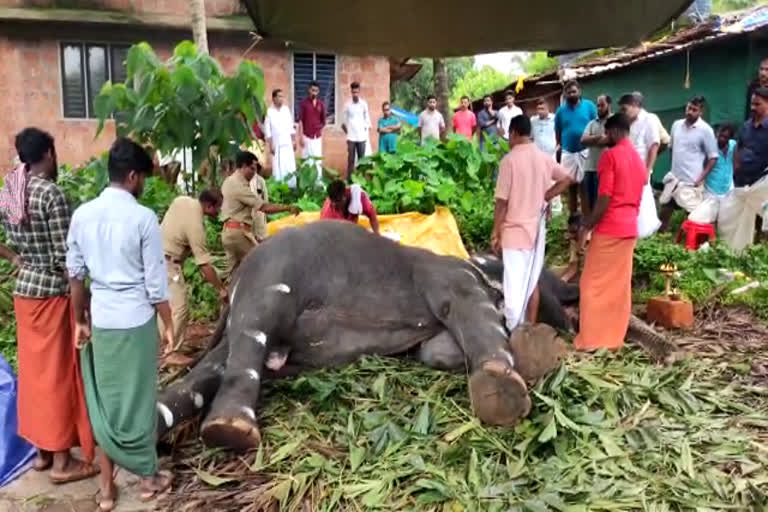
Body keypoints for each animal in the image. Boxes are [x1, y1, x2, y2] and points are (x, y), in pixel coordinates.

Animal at [158, 220, 672, 452]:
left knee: (213, 368)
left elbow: (435, 351)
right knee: (249, 342)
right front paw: (505, 391)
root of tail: (234, 287)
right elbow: (470, 313)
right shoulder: (450, 281)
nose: (567, 321)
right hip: (270, 286)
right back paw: (231, 432)